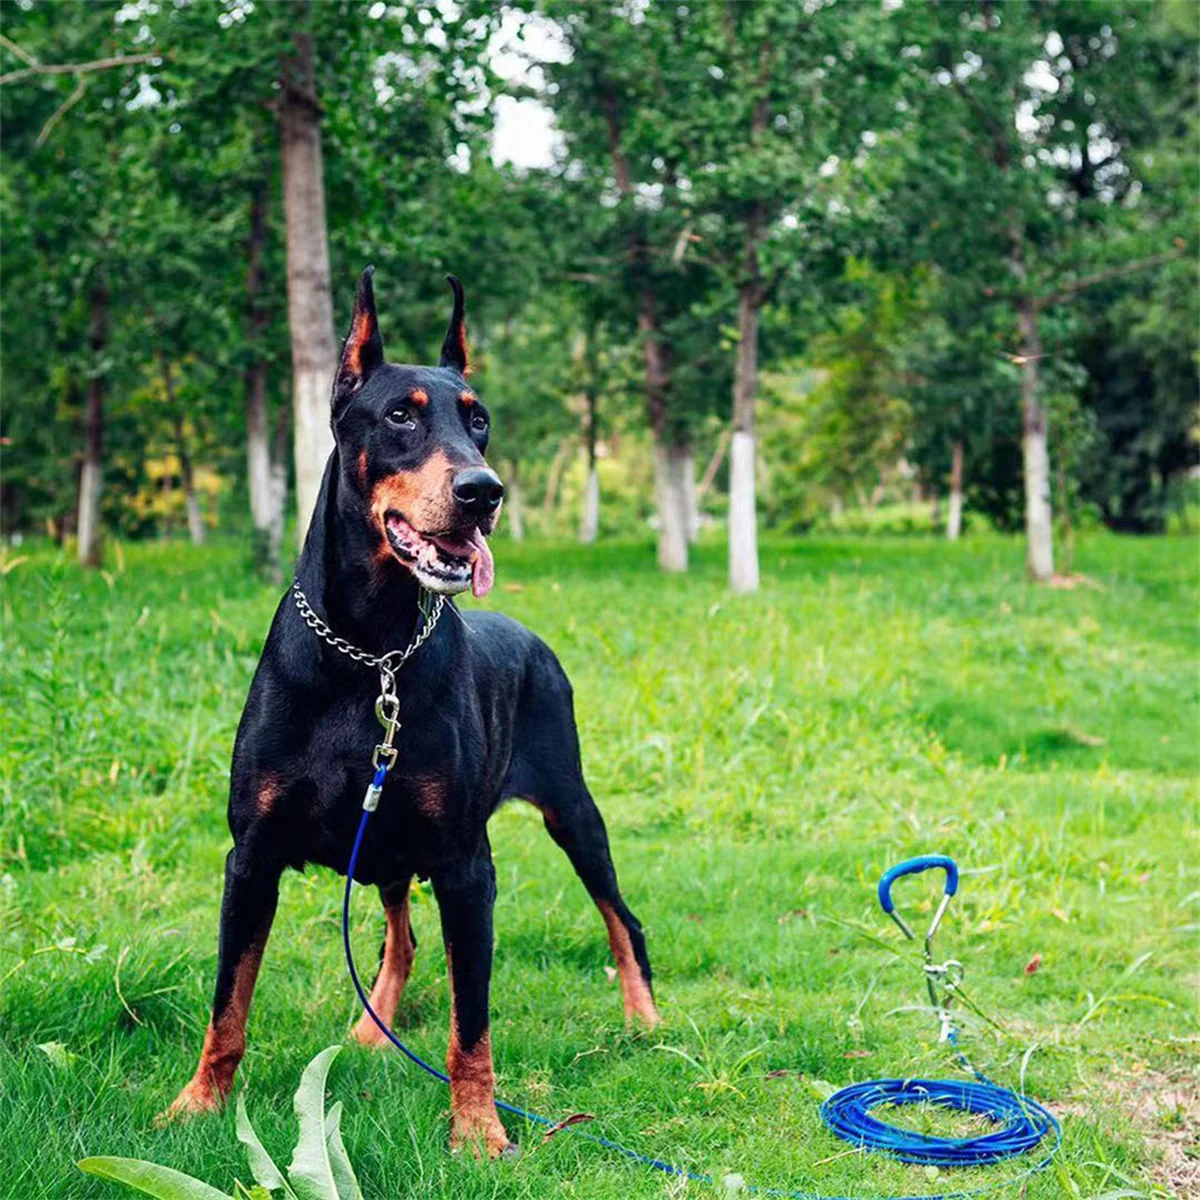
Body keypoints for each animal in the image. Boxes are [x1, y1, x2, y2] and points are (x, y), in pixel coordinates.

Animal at [162, 270, 657, 1152]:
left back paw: (645, 1021)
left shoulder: (465, 866)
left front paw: (479, 1130)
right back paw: (371, 1030)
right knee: (400, 935)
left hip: (570, 807)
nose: (483, 491)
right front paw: (197, 1104)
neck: (371, 655)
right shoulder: (250, 856)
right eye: (401, 415)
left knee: (620, 918)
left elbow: (472, 1022)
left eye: (479, 418)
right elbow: (228, 1003)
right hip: (387, 841)